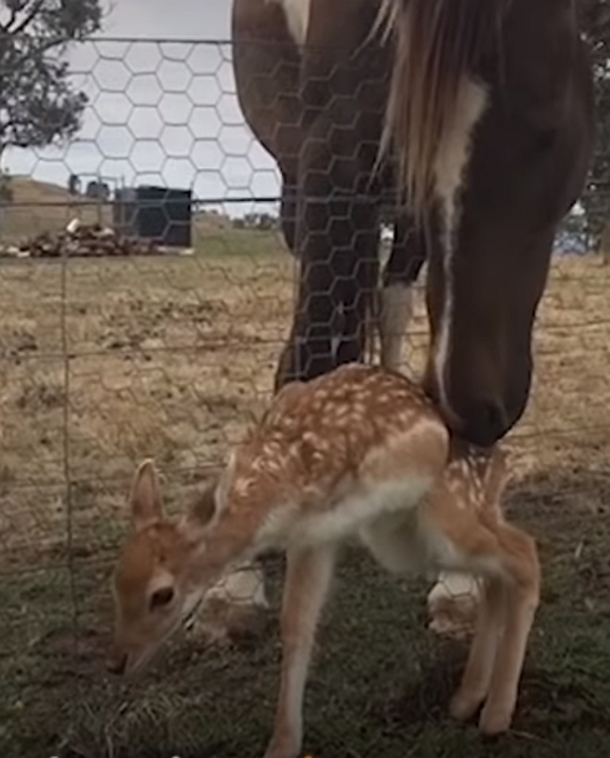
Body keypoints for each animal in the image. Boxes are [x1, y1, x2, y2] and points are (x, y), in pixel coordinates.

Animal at [107, 363, 540, 758]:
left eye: (162, 594)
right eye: (117, 581)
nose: (117, 662)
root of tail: (498, 466)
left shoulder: (320, 526)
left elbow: (297, 623)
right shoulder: (314, 537)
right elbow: (296, 627)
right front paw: (283, 745)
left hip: (445, 518)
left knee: (524, 552)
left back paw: (496, 714)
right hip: (402, 541)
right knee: (497, 572)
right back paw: (467, 699)